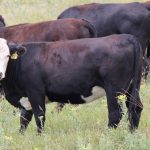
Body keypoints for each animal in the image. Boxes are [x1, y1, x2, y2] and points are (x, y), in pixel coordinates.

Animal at [0, 34, 143, 134]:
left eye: (7, 56)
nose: (0, 73)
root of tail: (127, 37)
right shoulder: (26, 98)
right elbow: (24, 121)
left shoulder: (35, 92)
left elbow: (39, 117)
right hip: (131, 88)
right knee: (136, 107)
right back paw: (132, 134)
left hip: (114, 89)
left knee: (115, 113)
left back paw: (108, 136)